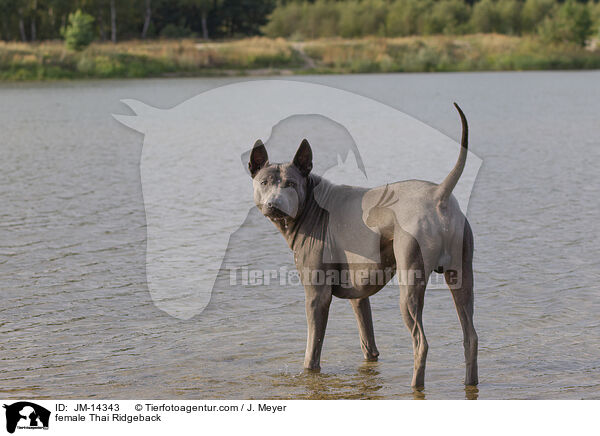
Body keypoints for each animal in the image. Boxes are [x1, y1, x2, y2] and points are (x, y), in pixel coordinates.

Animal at [247, 104, 478, 386]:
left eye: (291, 183)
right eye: (264, 183)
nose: (274, 204)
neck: (312, 204)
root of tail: (439, 194)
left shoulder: (317, 296)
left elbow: (312, 352)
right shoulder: (359, 295)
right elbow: (368, 344)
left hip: (410, 283)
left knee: (420, 342)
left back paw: (415, 386)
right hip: (462, 276)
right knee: (471, 336)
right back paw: (470, 382)